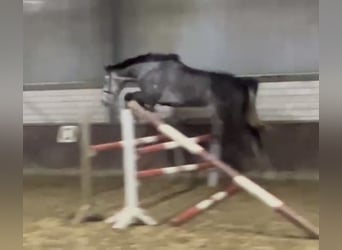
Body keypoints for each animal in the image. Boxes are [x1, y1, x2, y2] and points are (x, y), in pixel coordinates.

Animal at [101, 53, 264, 173]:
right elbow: (141, 103)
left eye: (106, 80)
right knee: (249, 133)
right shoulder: (156, 100)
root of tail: (240, 83)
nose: (104, 101)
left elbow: (131, 96)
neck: (150, 70)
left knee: (246, 133)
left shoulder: (149, 96)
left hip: (233, 113)